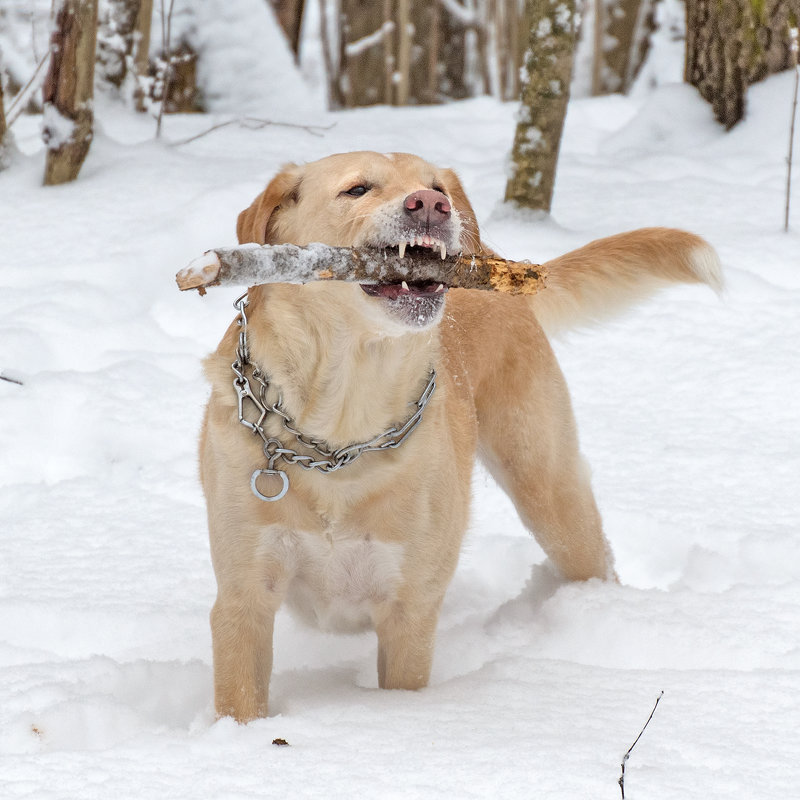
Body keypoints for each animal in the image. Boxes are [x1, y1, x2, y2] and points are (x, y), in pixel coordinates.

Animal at [198, 150, 720, 720]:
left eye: (435, 186)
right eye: (357, 189)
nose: (431, 204)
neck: (342, 426)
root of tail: (494, 256)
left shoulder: (409, 610)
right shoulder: (244, 599)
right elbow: (239, 698)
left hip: (549, 491)